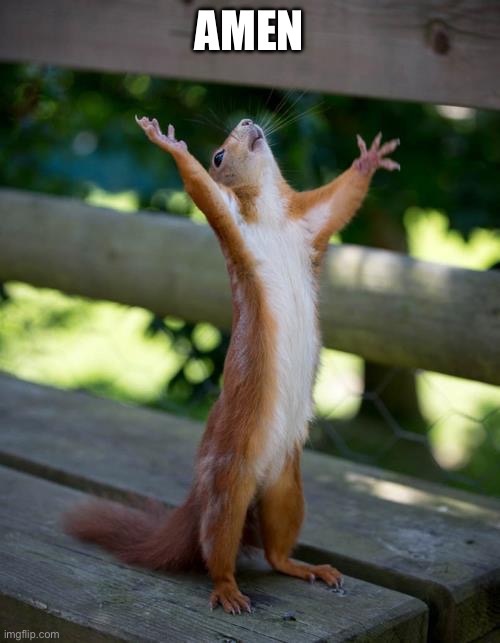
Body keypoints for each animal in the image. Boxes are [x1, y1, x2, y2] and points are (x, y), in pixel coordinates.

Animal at [65, 115, 399, 614]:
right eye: (218, 155)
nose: (247, 122)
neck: (272, 214)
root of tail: (199, 495)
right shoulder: (231, 222)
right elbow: (201, 188)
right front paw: (170, 144)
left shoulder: (309, 222)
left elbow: (340, 201)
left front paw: (369, 159)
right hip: (228, 485)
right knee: (216, 548)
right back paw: (227, 589)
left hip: (286, 487)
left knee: (276, 551)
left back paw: (307, 568)